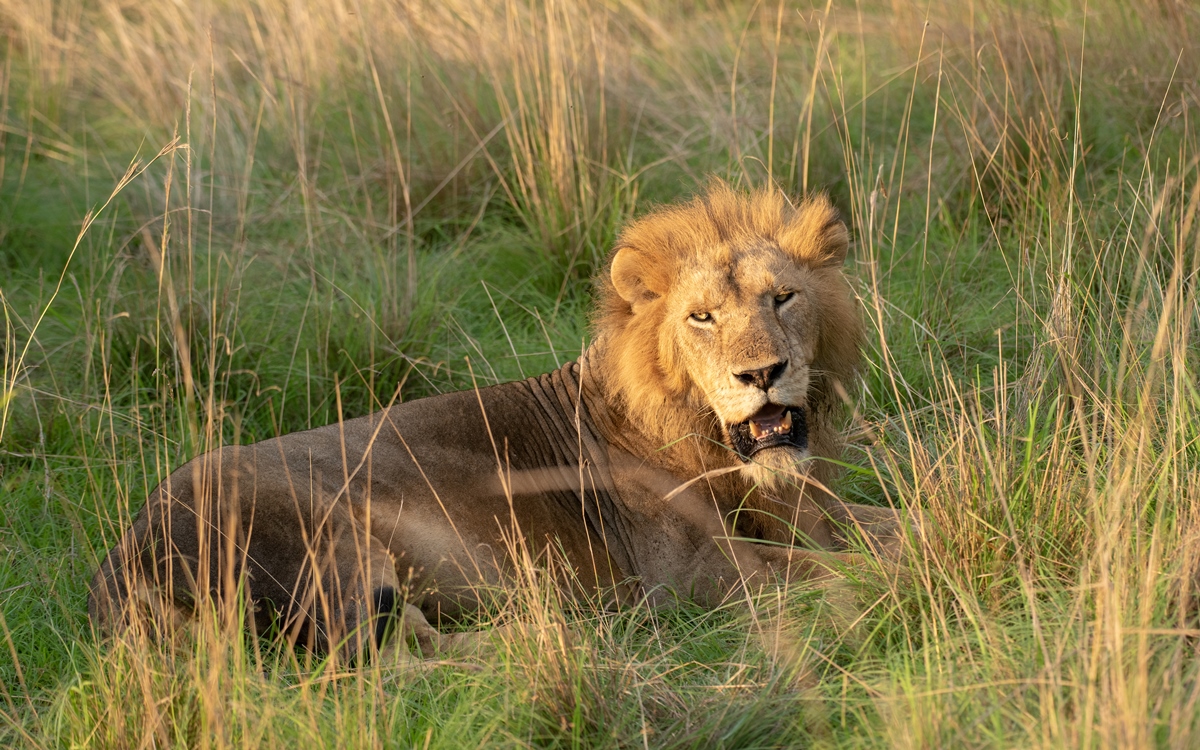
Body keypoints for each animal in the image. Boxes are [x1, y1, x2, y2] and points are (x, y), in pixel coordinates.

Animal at [87, 180, 907, 652]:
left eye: (783, 298)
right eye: (701, 317)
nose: (762, 374)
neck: (711, 443)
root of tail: (116, 569)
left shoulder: (813, 510)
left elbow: (895, 526)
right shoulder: (695, 573)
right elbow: (842, 573)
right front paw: (895, 580)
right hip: (323, 544)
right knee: (377, 663)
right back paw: (561, 640)